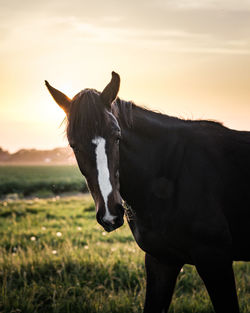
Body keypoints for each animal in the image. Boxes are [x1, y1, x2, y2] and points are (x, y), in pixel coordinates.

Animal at [45, 72, 250, 310]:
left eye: (117, 136)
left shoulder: (215, 260)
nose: (110, 214)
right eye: (73, 145)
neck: (171, 171)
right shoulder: (161, 261)